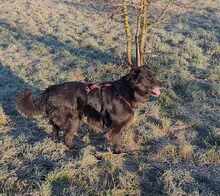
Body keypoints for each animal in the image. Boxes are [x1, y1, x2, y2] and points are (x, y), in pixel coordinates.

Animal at [15, 65, 162, 152]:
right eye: (149, 78)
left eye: (154, 76)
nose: (162, 84)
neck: (125, 92)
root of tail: (49, 90)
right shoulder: (115, 127)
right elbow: (116, 140)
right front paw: (118, 152)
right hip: (74, 119)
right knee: (66, 136)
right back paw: (74, 148)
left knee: (55, 129)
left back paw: (56, 141)